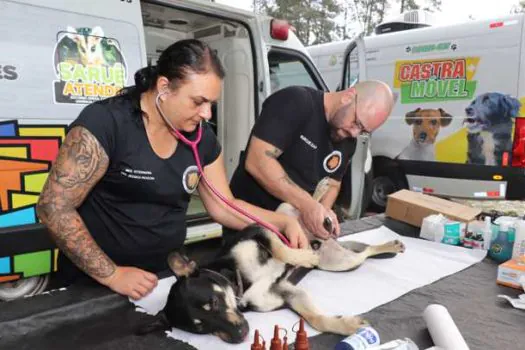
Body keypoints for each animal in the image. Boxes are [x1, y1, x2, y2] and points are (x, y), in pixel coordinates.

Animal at [137, 179, 404, 344]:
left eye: (213, 302)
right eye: (201, 328)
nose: (241, 335)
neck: (238, 279)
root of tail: (325, 238)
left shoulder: (258, 230)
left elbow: (282, 250)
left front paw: (302, 255)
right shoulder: (288, 293)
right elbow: (316, 318)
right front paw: (347, 326)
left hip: (284, 215)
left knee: (304, 207)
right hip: (337, 261)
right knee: (362, 250)